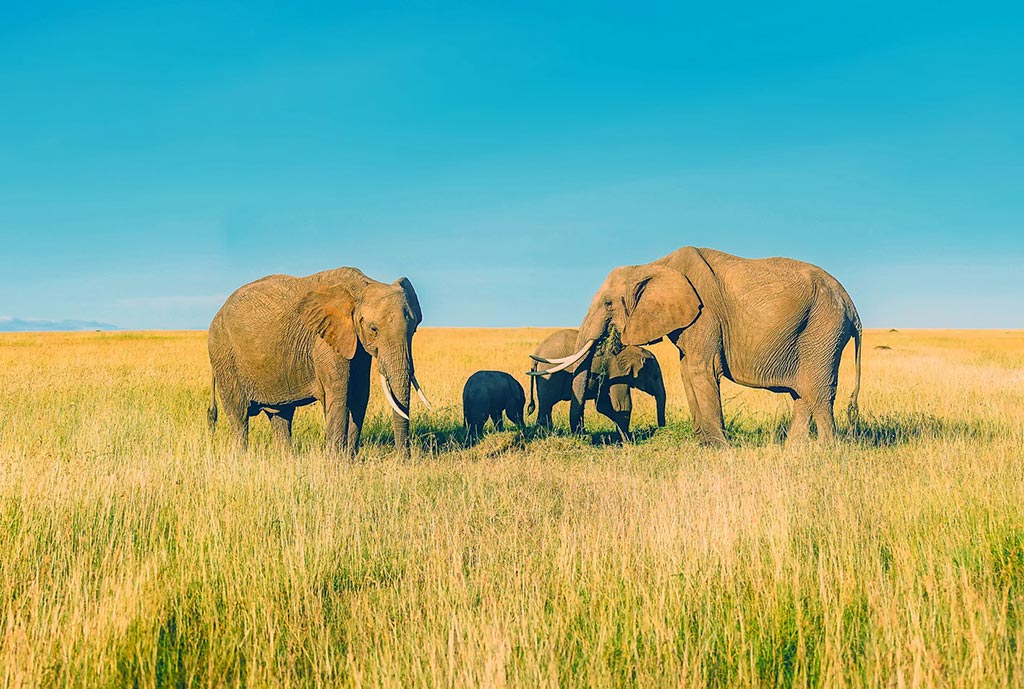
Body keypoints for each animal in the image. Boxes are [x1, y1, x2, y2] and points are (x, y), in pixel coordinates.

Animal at [207, 268, 428, 456]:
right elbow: (339, 395)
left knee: (281, 416)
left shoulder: (355, 343)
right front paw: (336, 463)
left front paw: (350, 460)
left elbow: (359, 394)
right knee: (239, 416)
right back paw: (241, 458)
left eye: (414, 329)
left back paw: (287, 460)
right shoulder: (324, 341)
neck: (361, 286)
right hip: (224, 355)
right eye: (374, 329)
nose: (404, 460)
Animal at [524, 325, 667, 438]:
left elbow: (602, 405)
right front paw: (628, 441)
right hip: (551, 376)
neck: (635, 350)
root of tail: (537, 352)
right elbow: (622, 404)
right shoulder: (617, 372)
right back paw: (545, 433)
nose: (661, 427)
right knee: (546, 404)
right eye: (655, 377)